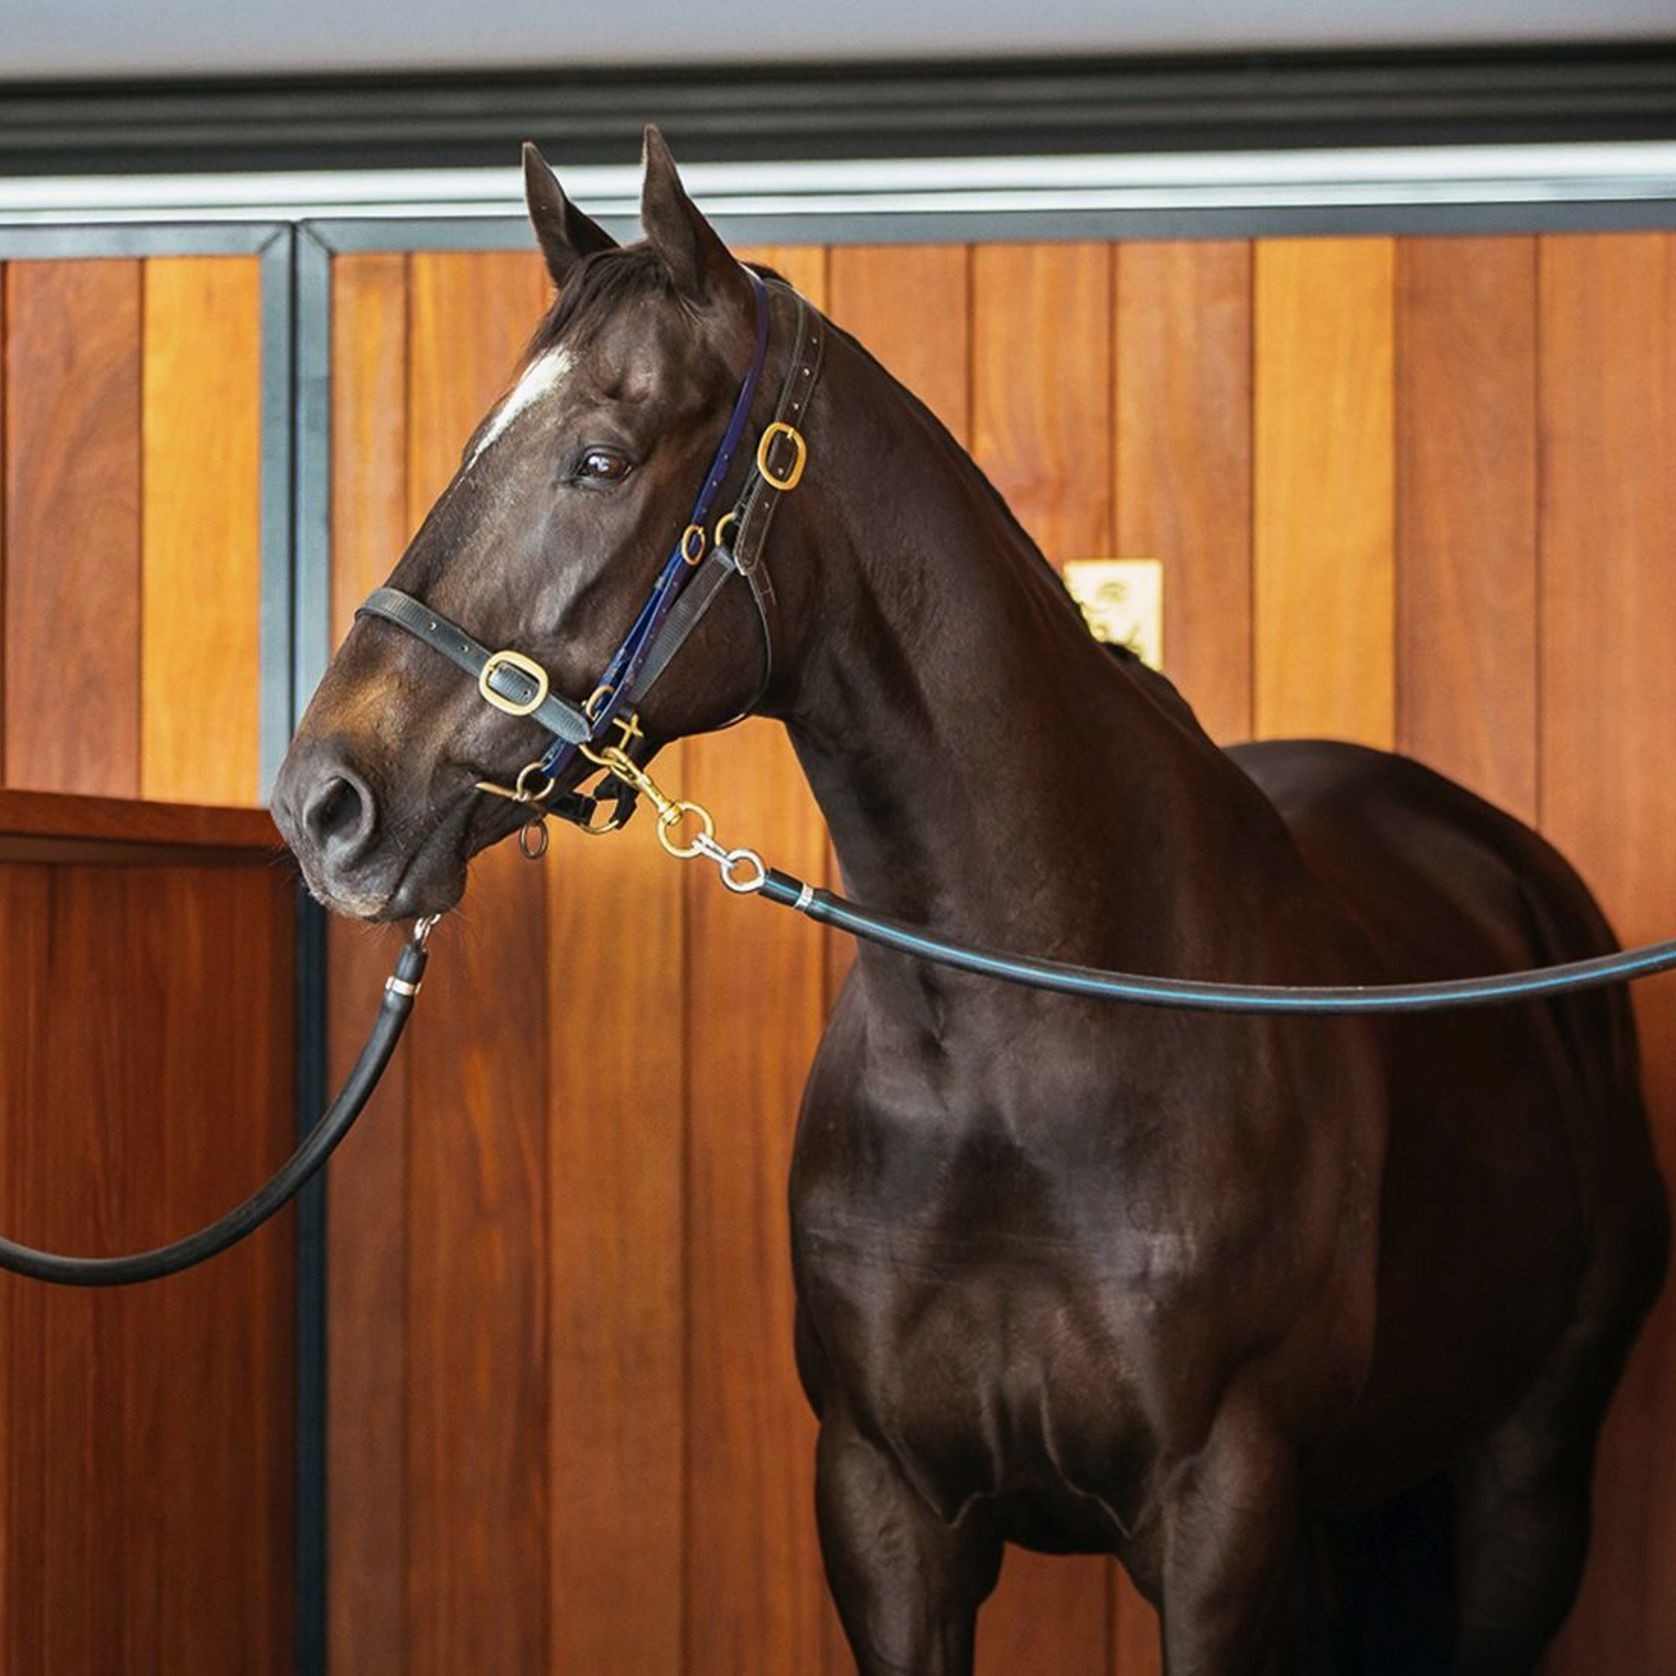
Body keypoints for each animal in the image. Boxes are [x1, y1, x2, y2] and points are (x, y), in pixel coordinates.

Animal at [268, 134, 1669, 1676]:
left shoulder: (1224, 1521)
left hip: (1523, 1490)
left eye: (599, 459)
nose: (325, 800)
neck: (1022, 1049)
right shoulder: (888, 1511)